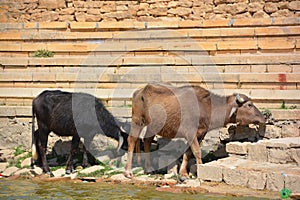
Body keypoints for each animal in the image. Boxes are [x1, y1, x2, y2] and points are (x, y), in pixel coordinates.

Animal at [123, 83, 264, 180]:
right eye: (249, 105)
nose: (263, 118)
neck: (205, 106)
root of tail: (139, 91)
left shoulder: (200, 134)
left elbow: (188, 153)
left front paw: (184, 174)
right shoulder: (190, 133)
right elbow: (197, 151)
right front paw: (201, 170)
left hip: (153, 126)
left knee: (147, 141)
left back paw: (149, 168)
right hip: (137, 121)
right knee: (132, 140)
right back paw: (128, 172)